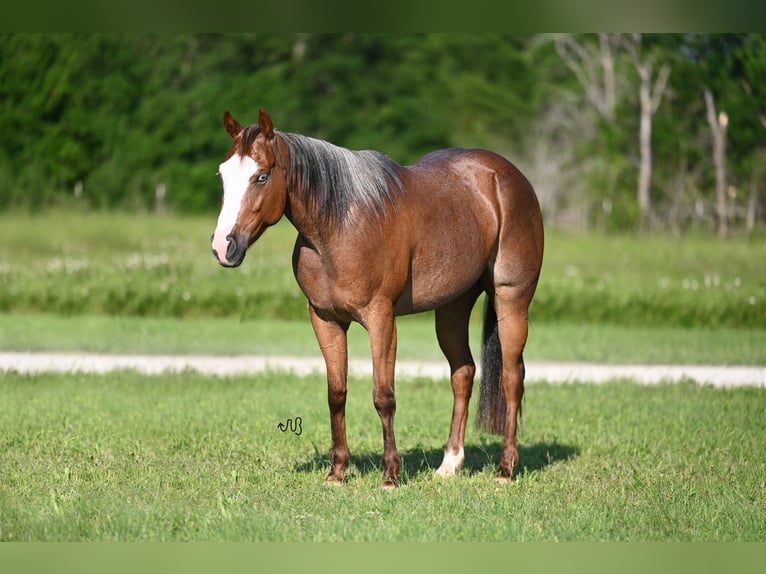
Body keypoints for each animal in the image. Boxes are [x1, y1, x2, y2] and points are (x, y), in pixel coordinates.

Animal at [212, 109, 544, 490]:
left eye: (262, 176)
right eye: (223, 175)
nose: (223, 247)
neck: (341, 227)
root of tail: (509, 177)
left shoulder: (381, 320)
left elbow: (383, 396)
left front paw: (390, 475)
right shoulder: (325, 320)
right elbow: (336, 394)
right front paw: (337, 472)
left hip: (512, 298)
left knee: (512, 377)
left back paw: (505, 469)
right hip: (453, 307)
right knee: (463, 373)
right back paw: (449, 463)